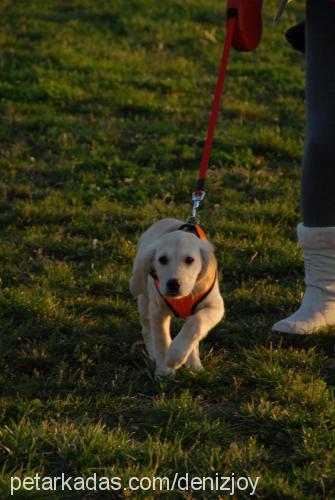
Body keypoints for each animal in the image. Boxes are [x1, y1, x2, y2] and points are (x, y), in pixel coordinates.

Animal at [130, 217, 224, 376]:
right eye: (162, 260)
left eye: (189, 260)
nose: (173, 284)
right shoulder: (158, 311)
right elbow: (161, 340)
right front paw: (164, 370)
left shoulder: (215, 307)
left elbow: (195, 324)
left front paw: (176, 356)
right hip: (144, 299)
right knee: (147, 330)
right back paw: (154, 354)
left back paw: (194, 364)